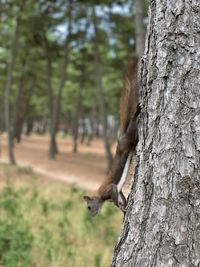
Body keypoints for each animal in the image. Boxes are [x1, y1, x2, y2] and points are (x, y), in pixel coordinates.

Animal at [83, 55, 139, 217]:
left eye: (89, 206)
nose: (91, 215)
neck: (100, 197)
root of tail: (120, 139)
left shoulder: (109, 189)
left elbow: (114, 194)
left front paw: (121, 207)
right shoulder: (117, 191)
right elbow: (120, 196)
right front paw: (123, 208)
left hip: (128, 140)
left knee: (133, 129)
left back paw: (136, 114)